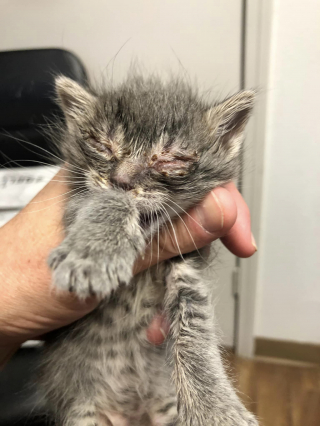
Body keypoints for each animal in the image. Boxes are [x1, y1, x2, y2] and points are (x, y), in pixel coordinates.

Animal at [42, 74, 258, 426]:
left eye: (172, 159)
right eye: (102, 145)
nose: (121, 180)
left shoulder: (188, 266)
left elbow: (195, 324)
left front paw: (215, 408)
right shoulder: (75, 203)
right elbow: (106, 202)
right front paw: (93, 255)